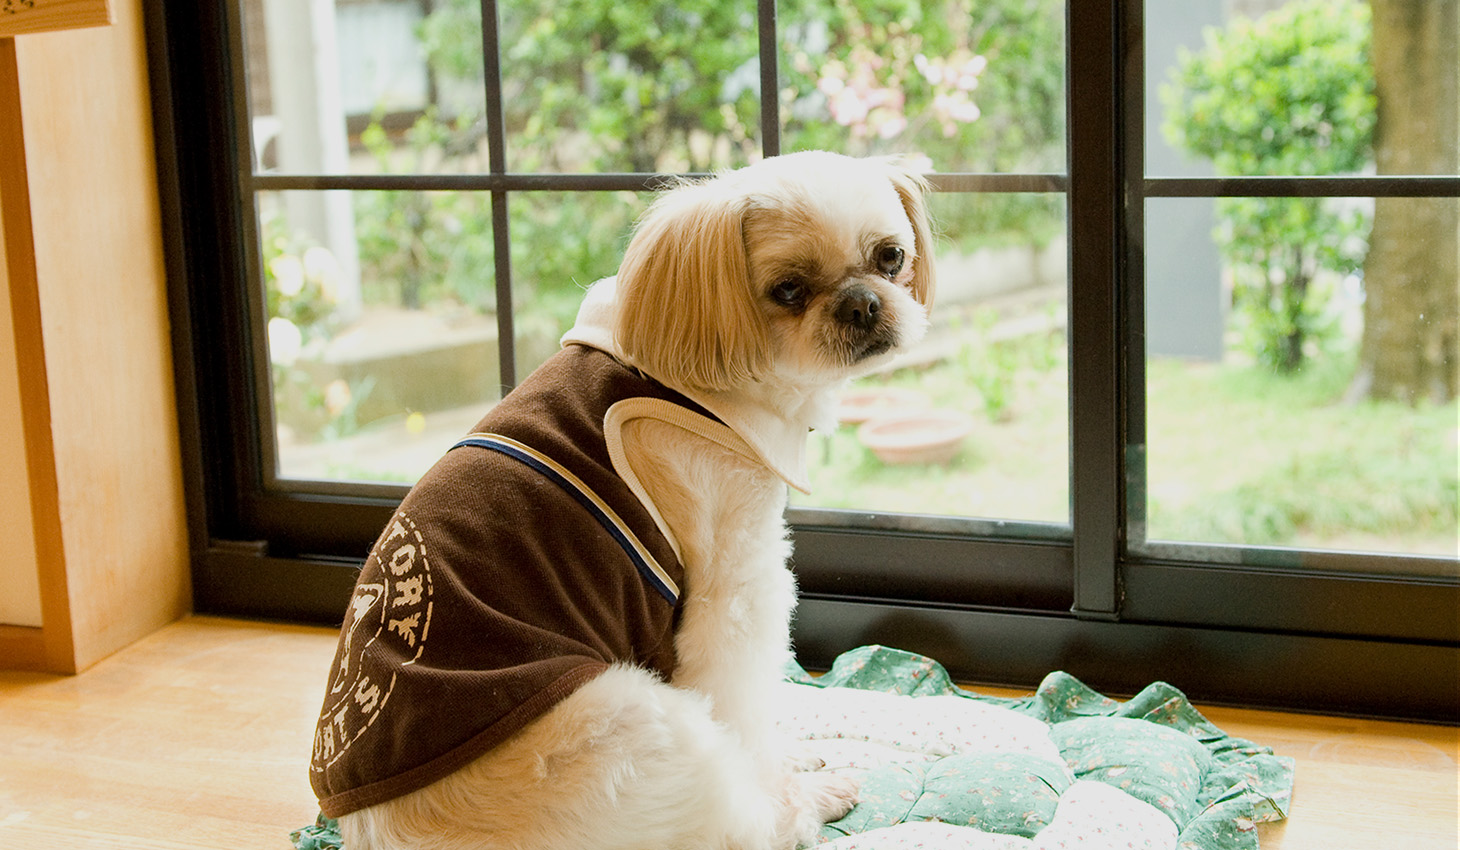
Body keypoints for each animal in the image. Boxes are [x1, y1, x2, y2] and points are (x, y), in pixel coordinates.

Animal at [310, 149, 934, 847]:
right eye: (789, 290)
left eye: (890, 258)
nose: (861, 304)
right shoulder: (736, 587)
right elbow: (743, 704)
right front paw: (780, 773)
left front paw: (789, 753)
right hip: (632, 718)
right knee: (741, 824)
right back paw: (806, 801)